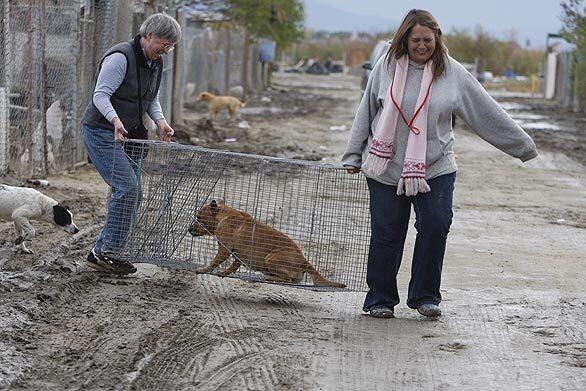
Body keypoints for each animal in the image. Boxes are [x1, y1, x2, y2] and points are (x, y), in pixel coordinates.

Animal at [187, 202, 344, 288]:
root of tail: (304, 260)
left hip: (270, 258)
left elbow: (214, 262)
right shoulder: (239, 255)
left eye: (199, 218)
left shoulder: (224, 250)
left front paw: (204, 270)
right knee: (289, 280)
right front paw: (224, 273)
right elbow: (232, 266)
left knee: (286, 279)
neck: (223, 215)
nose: (189, 229)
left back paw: (267, 277)